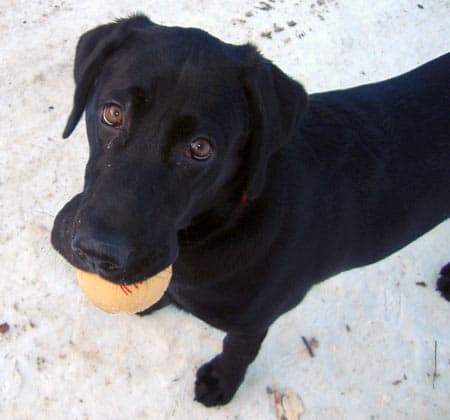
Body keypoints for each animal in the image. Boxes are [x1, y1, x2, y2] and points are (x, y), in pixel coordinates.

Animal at [51, 16, 448, 406]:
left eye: (200, 148)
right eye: (113, 113)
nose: (96, 252)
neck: (220, 223)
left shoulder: (256, 319)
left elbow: (239, 349)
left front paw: (221, 382)